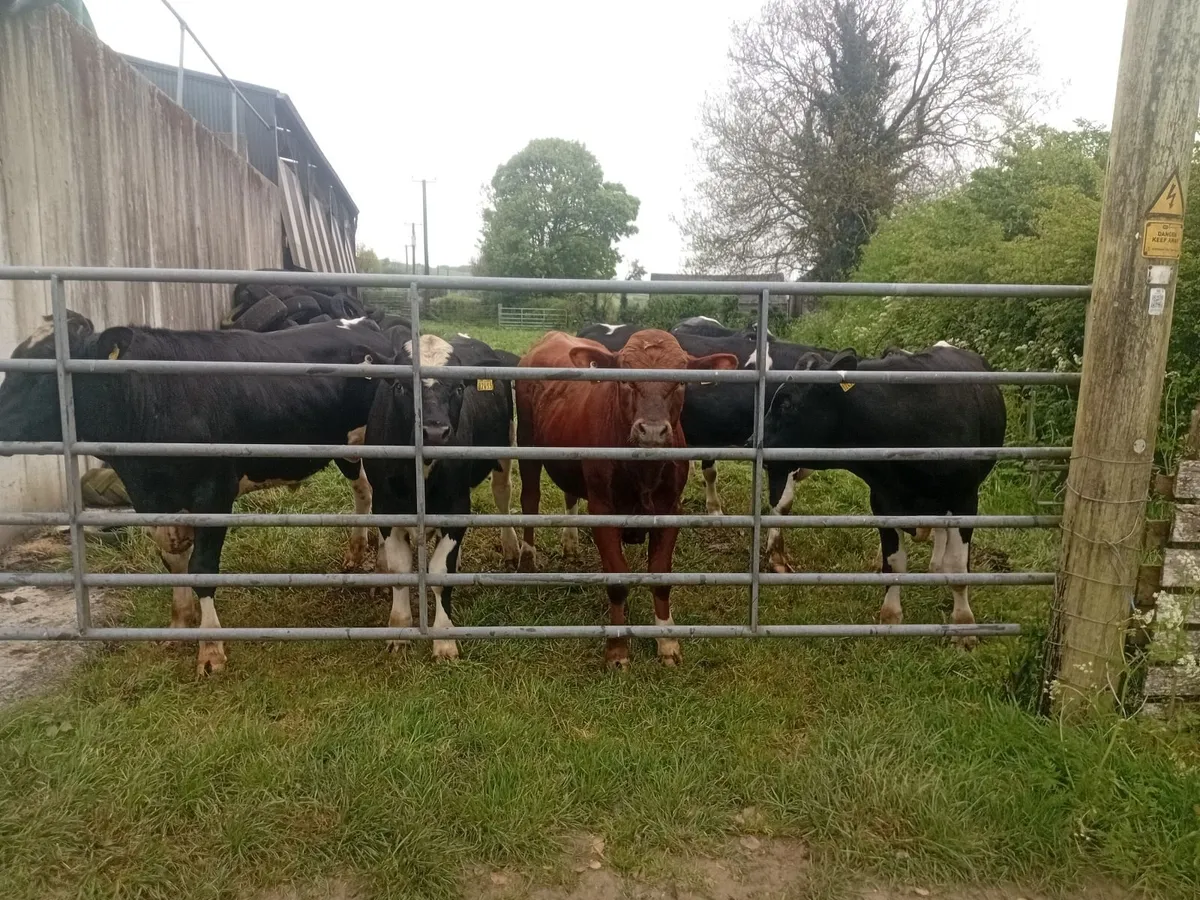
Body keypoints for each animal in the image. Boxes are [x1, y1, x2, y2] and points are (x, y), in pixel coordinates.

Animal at [0, 311, 396, 675]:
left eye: (41, 372)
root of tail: (363, 322)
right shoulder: (148, 496)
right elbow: (173, 562)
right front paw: (178, 624)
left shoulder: (214, 493)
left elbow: (202, 567)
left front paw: (210, 649)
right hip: (344, 447)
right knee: (363, 491)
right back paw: (356, 554)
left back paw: (380, 571)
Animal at [364, 332, 519, 661]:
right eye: (400, 387)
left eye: (459, 388)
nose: (434, 432)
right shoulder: (385, 507)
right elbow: (399, 569)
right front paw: (399, 629)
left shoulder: (457, 508)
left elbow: (440, 572)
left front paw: (444, 637)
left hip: (504, 449)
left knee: (503, 494)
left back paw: (512, 546)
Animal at [515, 330, 738, 668]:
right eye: (624, 379)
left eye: (681, 381)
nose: (653, 431)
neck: (643, 472)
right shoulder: (602, 510)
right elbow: (618, 580)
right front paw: (617, 648)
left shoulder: (669, 509)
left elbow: (660, 577)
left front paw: (667, 641)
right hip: (527, 444)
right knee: (530, 498)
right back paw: (528, 558)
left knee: (569, 493)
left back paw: (570, 544)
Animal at [762, 341, 1006, 645]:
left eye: (787, 404)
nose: (752, 441)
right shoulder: (883, 499)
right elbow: (894, 562)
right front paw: (890, 616)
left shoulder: (965, 499)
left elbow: (959, 567)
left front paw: (964, 625)